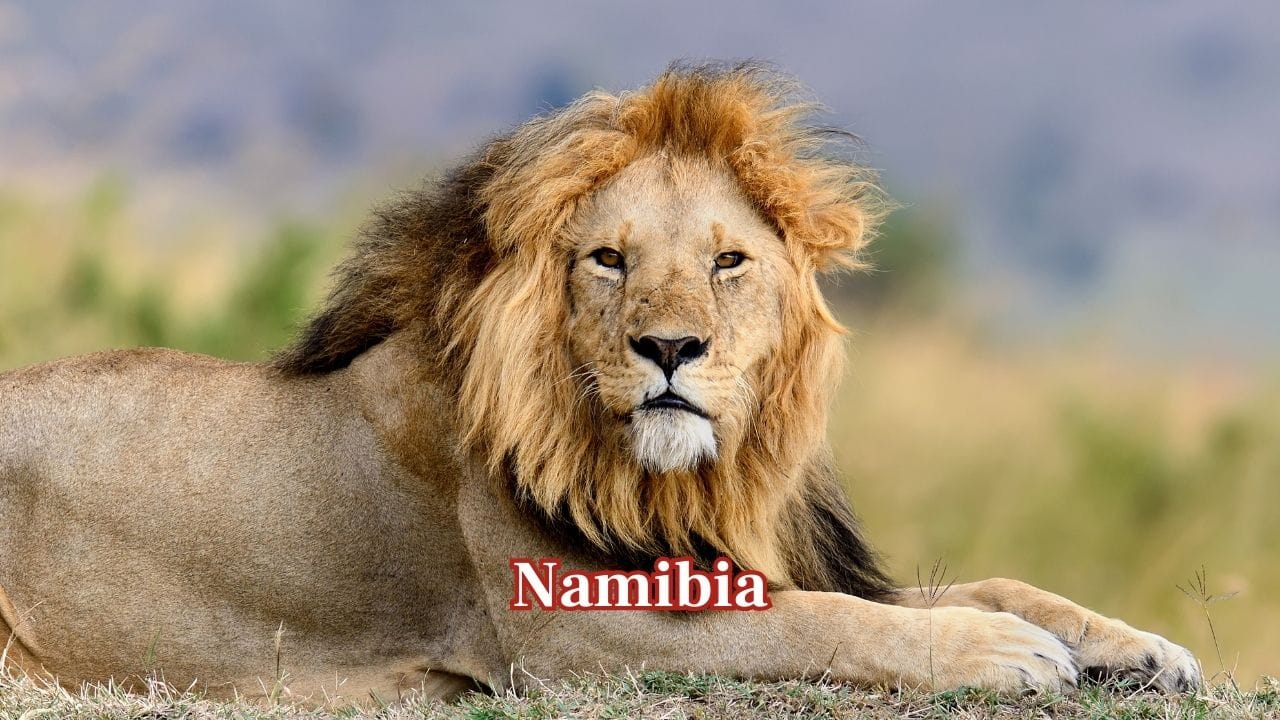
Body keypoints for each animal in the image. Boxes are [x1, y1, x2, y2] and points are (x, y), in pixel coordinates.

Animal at [0, 64, 1200, 704]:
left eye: (727, 261)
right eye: (608, 260)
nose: (669, 348)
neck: (679, 477)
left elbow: (987, 583)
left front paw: (1138, 645)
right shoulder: (577, 636)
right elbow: (824, 623)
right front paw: (1000, 653)